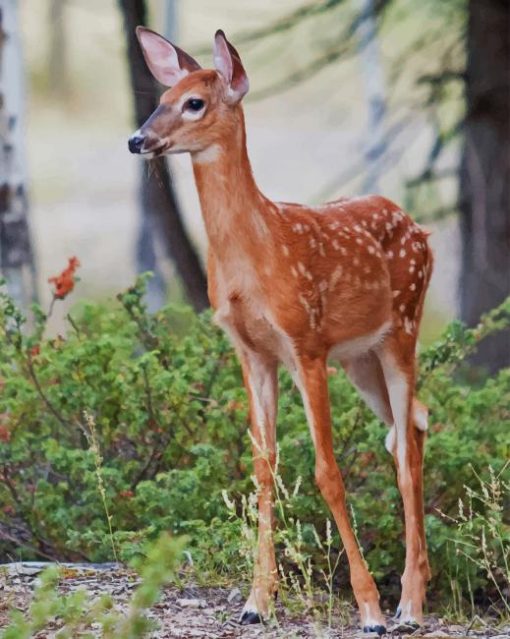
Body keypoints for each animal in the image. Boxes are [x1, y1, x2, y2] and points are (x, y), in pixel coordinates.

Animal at [129, 26, 432, 636]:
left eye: (193, 103)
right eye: (160, 98)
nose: (137, 140)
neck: (256, 253)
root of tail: (421, 230)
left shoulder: (305, 343)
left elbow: (327, 472)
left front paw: (369, 609)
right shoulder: (252, 352)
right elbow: (262, 470)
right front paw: (256, 601)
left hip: (403, 329)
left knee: (405, 453)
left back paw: (407, 607)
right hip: (360, 359)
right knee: (410, 427)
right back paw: (420, 589)